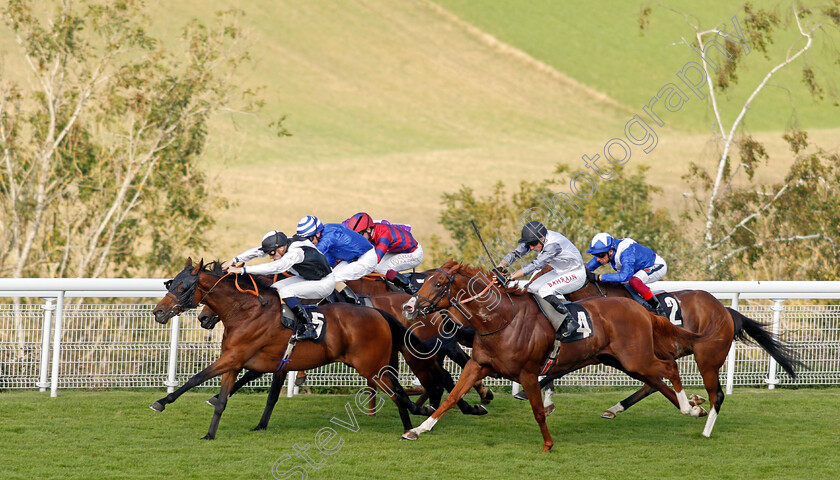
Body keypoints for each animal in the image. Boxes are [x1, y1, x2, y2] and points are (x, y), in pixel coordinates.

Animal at [148, 258, 430, 438]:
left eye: (183, 287)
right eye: (170, 283)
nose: (158, 312)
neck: (246, 311)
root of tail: (378, 313)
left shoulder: (235, 357)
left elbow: (196, 378)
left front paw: (161, 402)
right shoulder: (244, 362)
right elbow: (229, 399)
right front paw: (210, 433)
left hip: (372, 366)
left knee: (397, 392)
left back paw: (414, 420)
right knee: (398, 392)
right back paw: (411, 422)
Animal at [400, 260, 704, 452]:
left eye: (439, 283)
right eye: (424, 280)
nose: (409, 307)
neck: (501, 320)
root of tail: (641, 309)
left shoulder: (528, 373)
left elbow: (537, 410)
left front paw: (547, 444)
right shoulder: (478, 365)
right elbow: (451, 397)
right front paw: (418, 430)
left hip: (635, 358)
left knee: (668, 367)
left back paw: (690, 406)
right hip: (622, 361)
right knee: (656, 382)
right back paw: (693, 407)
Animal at [532, 270, 800, 436]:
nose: (530, 290)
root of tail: (725, 310)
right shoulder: (603, 353)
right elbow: (555, 370)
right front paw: (543, 399)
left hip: (706, 358)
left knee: (712, 393)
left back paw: (704, 426)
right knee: (655, 383)